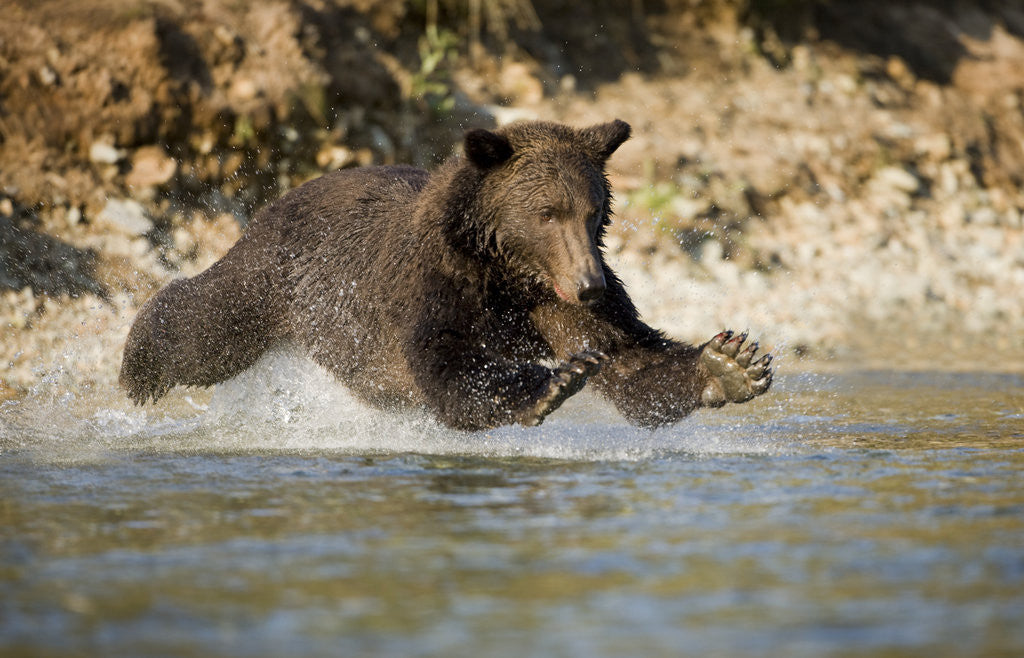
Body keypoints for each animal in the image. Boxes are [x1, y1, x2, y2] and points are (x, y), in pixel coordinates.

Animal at [120, 119, 772, 430]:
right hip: (277, 277)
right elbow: (446, 362)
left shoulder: (553, 298)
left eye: (594, 211)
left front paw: (731, 363)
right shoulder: (431, 284)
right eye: (547, 212)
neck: (506, 271)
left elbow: (628, 359)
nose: (591, 285)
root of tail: (280, 197)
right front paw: (551, 385)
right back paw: (136, 369)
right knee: (204, 327)